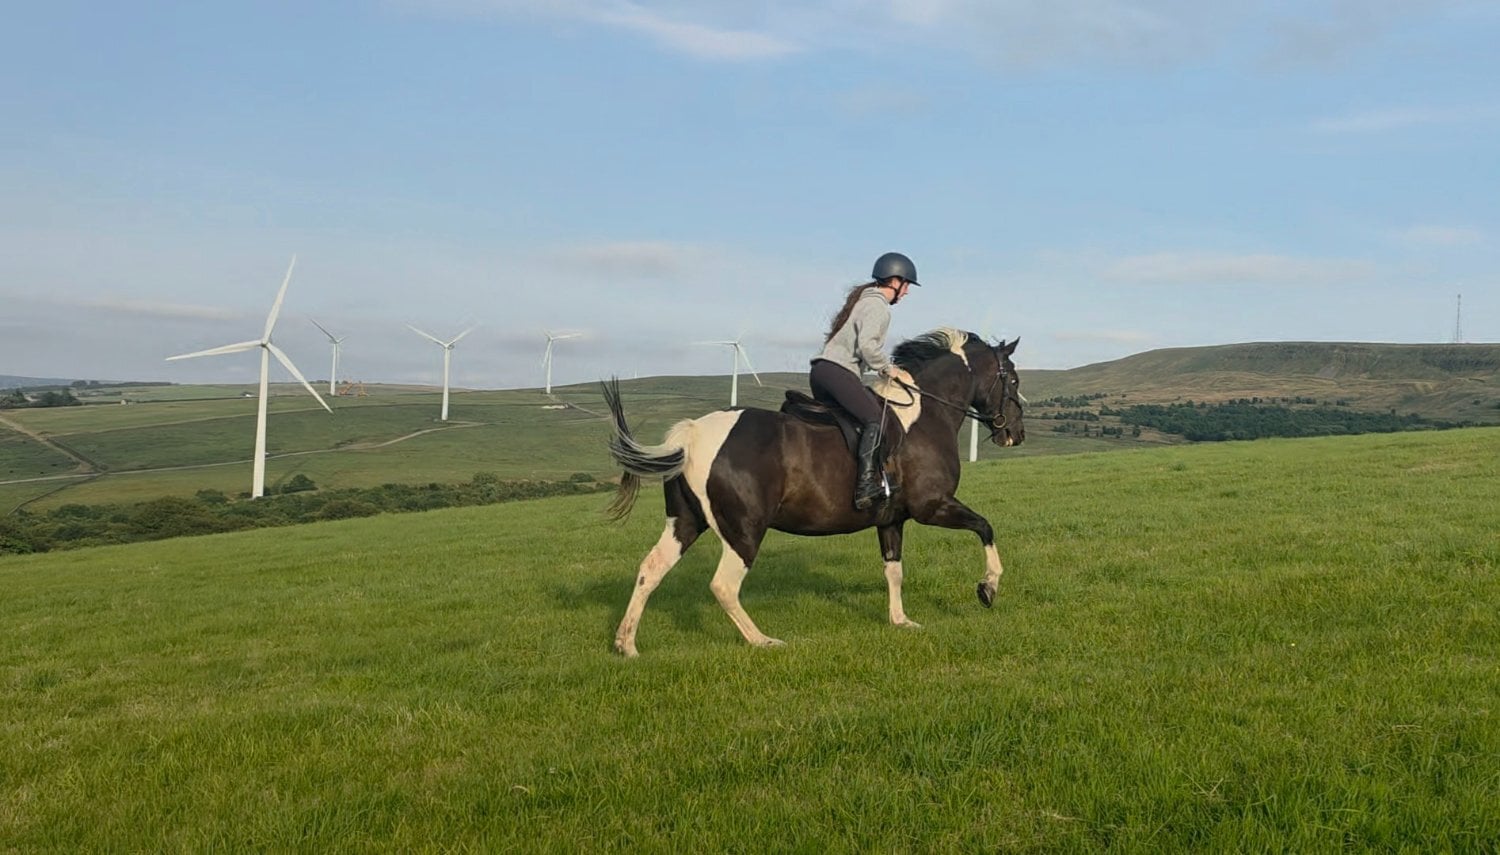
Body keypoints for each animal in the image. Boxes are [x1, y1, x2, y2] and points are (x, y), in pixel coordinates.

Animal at [602, 328, 1025, 657]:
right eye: (1013, 381)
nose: (1015, 434)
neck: (923, 415)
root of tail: (692, 435)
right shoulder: (932, 506)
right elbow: (985, 528)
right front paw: (988, 588)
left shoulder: (892, 520)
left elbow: (894, 571)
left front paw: (901, 621)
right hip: (744, 531)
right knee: (724, 586)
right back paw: (763, 641)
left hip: (685, 522)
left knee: (651, 570)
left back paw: (627, 644)